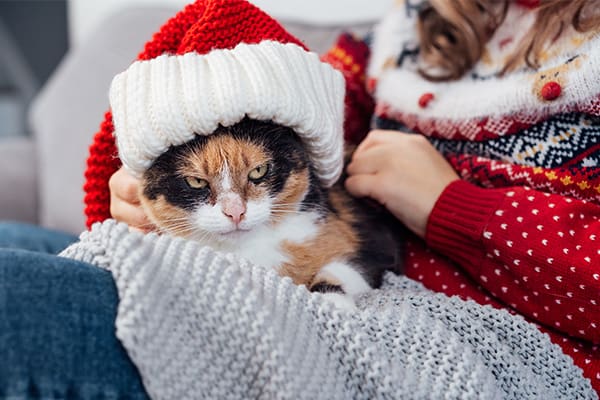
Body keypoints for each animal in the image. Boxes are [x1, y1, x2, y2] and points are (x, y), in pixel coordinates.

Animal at [141, 117, 404, 310]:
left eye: (259, 171)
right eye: (196, 182)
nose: (235, 212)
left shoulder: (371, 240)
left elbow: (347, 268)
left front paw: (333, 305)